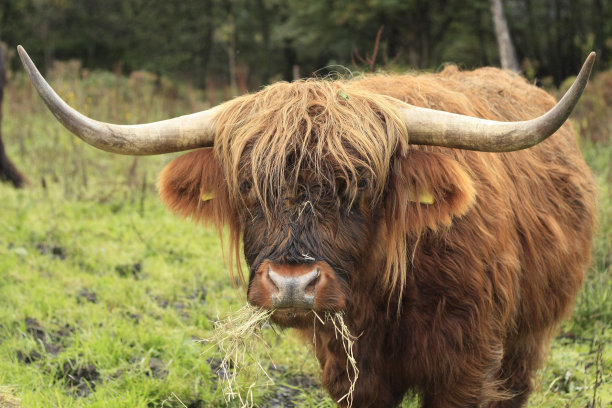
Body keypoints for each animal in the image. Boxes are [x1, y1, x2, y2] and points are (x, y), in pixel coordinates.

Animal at [20, 45, 596, 408]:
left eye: (359, 188)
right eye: (248, 188)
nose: (292, 285)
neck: (387, 298)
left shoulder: (468, 367)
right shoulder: (351, 373)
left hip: (525, 343)